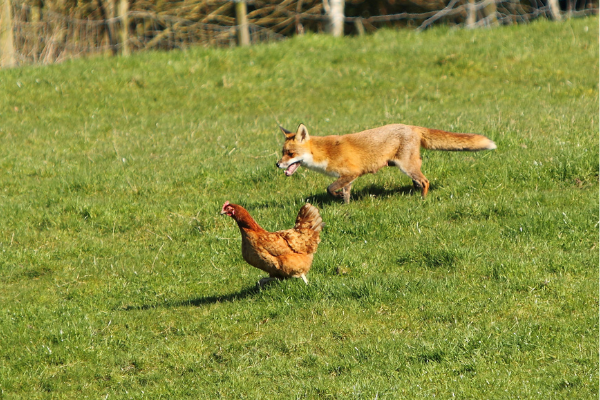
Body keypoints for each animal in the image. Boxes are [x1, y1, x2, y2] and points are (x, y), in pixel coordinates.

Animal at [276, 122, 496, 205]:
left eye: (290, 153)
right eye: (282, 153)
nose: (278, 164)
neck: (325, 152)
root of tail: (412, 126)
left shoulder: (351, 173)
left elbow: (330, 188)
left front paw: (337, 198)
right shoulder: (347, 178)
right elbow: (345, 194)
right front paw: (345, 206)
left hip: (407, 166)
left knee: (425, 182)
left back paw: (422, 201)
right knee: (419, 182)